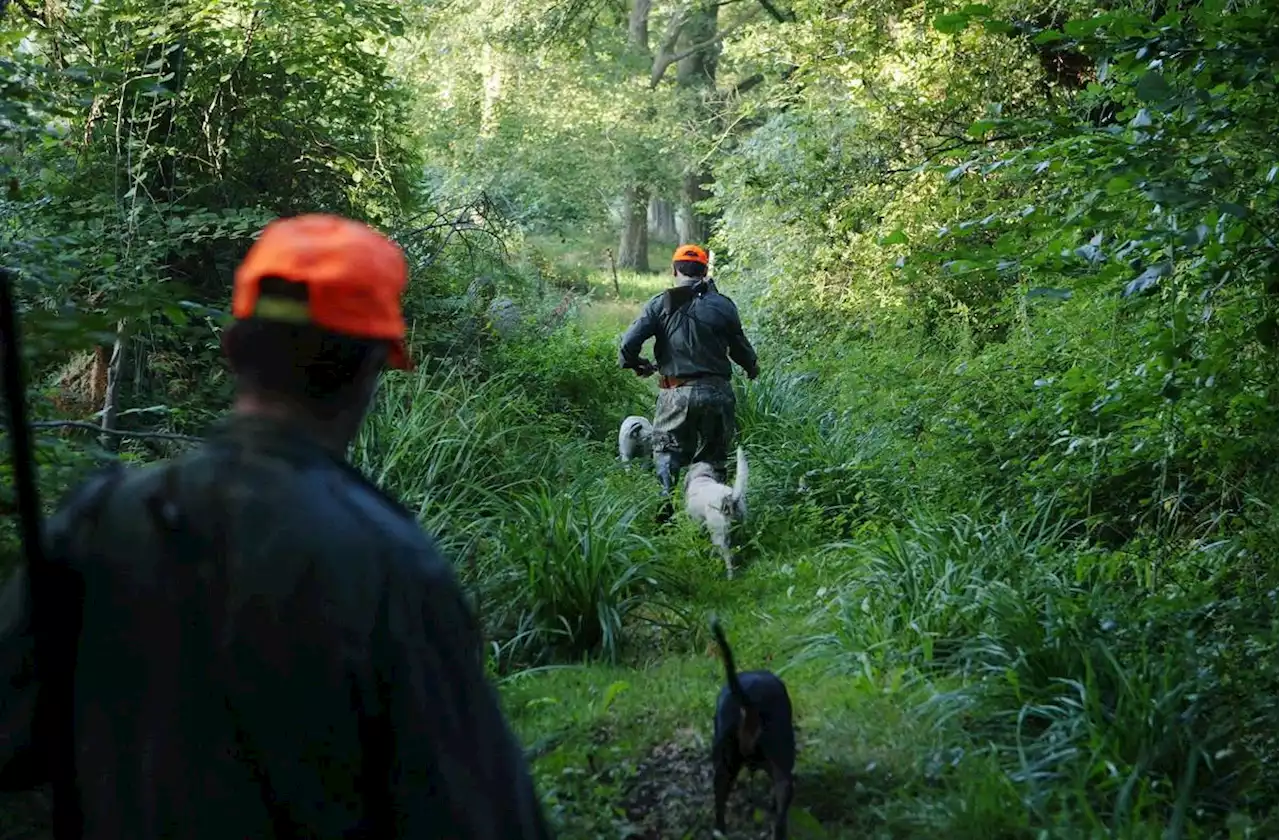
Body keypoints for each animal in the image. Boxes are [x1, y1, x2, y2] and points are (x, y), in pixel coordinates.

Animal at [686, 450, 747, 581]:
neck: (702, 478)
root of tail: (729, 498)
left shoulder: (697, 523)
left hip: (719, 536)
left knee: (727, 557)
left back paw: (729, 576)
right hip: (740, 528)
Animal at [706, 614, 793, 834]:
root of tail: (749, 700)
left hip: (724, 763)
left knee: (719, 805)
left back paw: (721, 832)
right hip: (781, 758)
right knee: (782, 810)